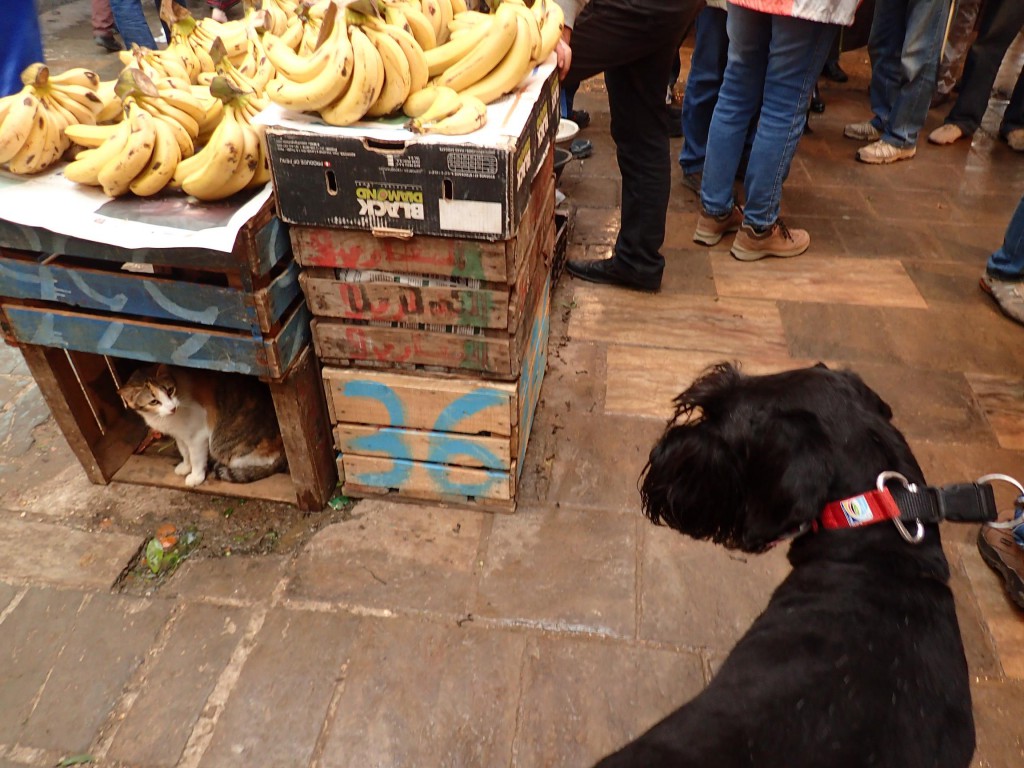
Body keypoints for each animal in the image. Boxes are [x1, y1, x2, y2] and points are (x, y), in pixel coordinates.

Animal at [118, 364, 288, 487]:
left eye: (170, 390)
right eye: (154, 401)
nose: (172, 408)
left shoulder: (197, 436)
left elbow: (195, 458)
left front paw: (195, 476)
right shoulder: (180, 435)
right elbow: (184, 452)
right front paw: (185, 466)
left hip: (223, 446)